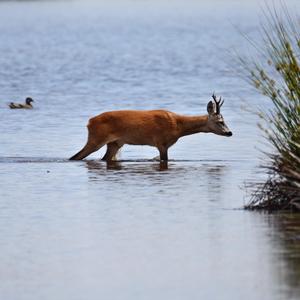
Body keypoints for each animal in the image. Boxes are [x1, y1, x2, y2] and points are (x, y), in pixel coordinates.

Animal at [69, 95, 232, 163]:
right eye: (220, 121)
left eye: (224, 120)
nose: (229, 132)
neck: (178, 126)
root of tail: (89, 122)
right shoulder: (161, 143)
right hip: (96, 139)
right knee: (75, 157)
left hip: (115, 143)